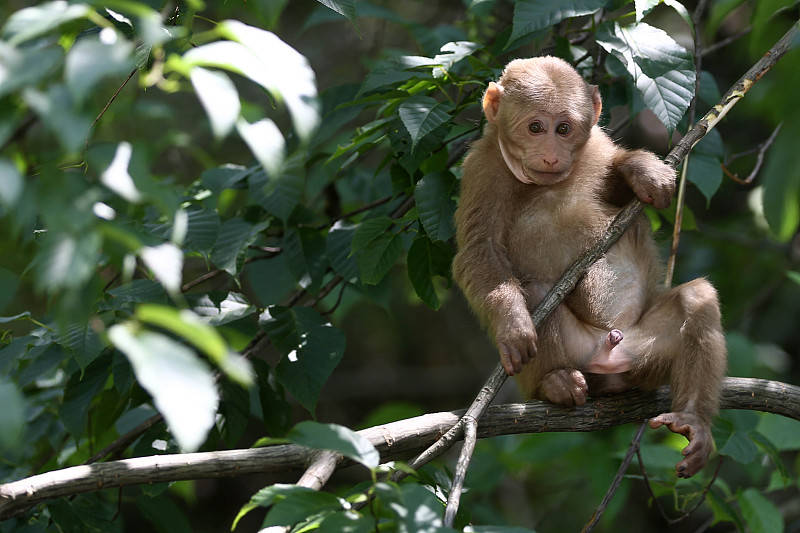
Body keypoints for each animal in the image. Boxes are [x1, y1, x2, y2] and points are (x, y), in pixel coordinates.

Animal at [454, 56, 728, 476]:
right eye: (535, 127)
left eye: (564, 129)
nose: (551, 155)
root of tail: (610, 353)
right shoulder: (482, 168)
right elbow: (479, 250)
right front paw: (513, 325)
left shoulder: (596, 144)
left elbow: (618, 185)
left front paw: (641, 169)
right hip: (580, 353)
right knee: (536, 292)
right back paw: (555, 382)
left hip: (646, 357)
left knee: (696, 298)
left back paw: (692, 420)